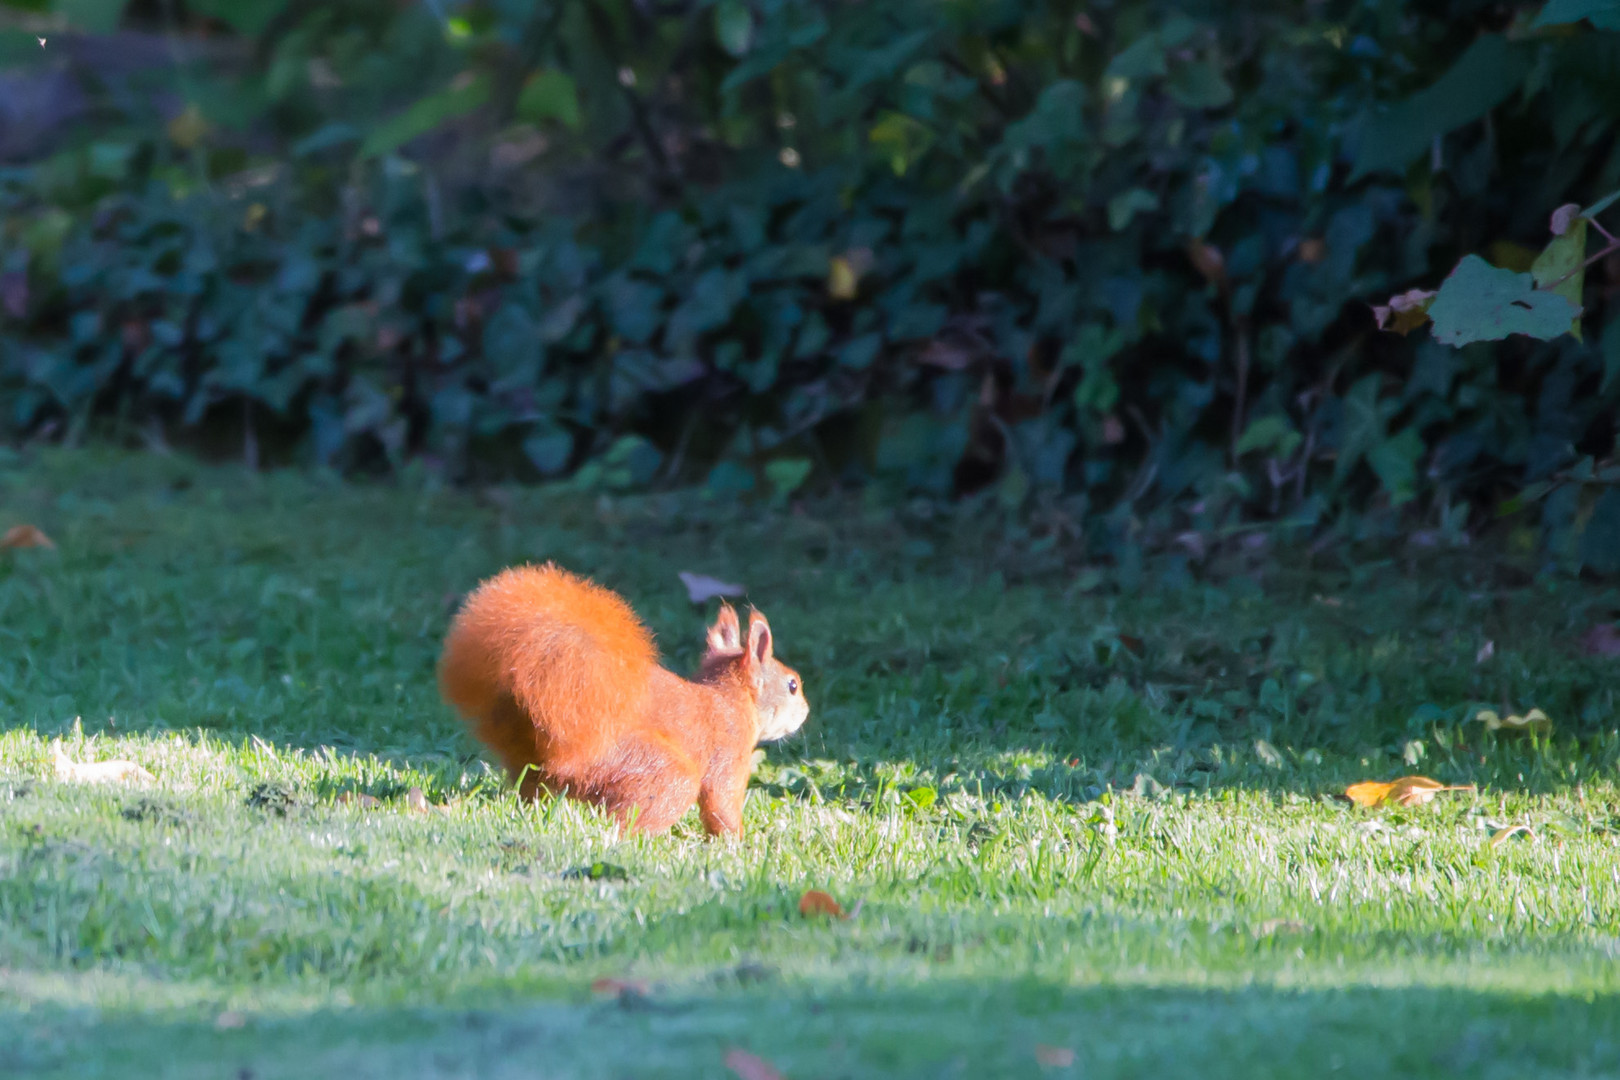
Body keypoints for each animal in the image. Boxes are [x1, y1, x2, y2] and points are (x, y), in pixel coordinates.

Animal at [437, 563, 810, 841]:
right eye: (792, 685)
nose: (806, 712)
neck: (731, 697)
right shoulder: (729, 756)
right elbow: (722, 805)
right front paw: (737, 843)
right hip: (658, 772)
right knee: (625, 820)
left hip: (538, 775)